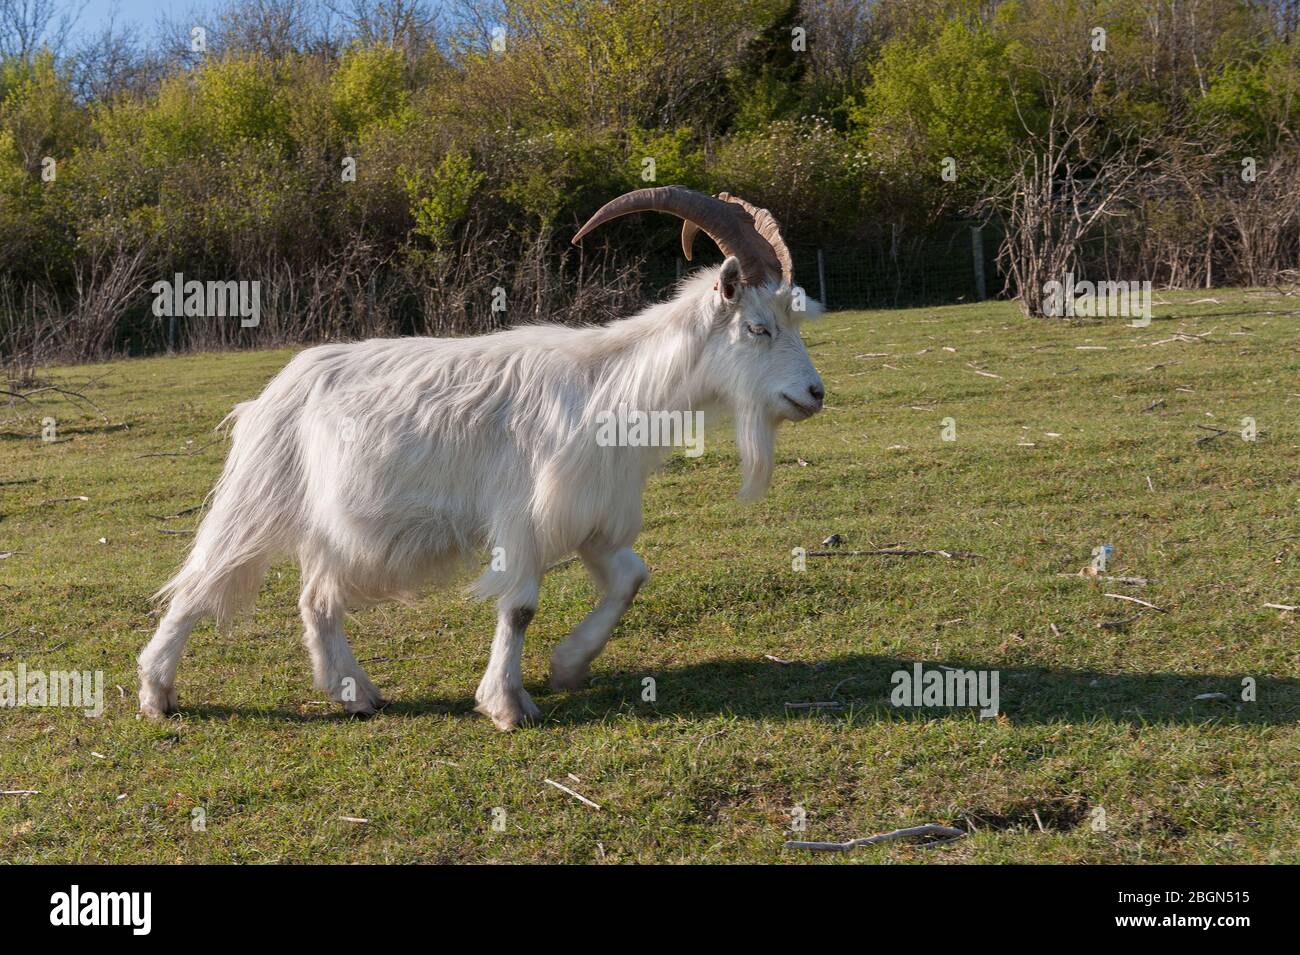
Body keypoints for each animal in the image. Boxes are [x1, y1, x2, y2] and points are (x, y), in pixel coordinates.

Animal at [139, 187, 821, 732]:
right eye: (758, 328)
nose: (814, 394)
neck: (609, 387)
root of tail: (275, 390)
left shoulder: (592, 518)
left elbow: (632, 579)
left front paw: (568, 665)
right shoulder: (524, 517)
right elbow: (519, 606)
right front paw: (508, 705)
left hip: (333, 527)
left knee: (316, 599)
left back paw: (355, 693)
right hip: (259, 496)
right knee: (200, 581)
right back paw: (157, 693)